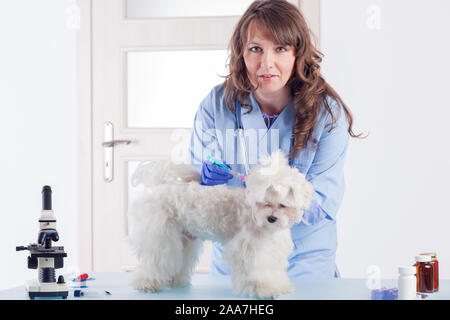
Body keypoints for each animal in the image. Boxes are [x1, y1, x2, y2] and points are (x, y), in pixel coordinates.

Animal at [126, 150, 312, 298]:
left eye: (282, 205)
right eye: (264, 203)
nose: (271, 219)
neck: (254, 213)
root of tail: (161, 186)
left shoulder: (271, 250)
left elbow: (272, 270)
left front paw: (280, 286)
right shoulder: (250, 249)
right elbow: (257, 272)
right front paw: (263, 290)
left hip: (184, 239)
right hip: (161, 237)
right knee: (155, 261)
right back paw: (147, 283)